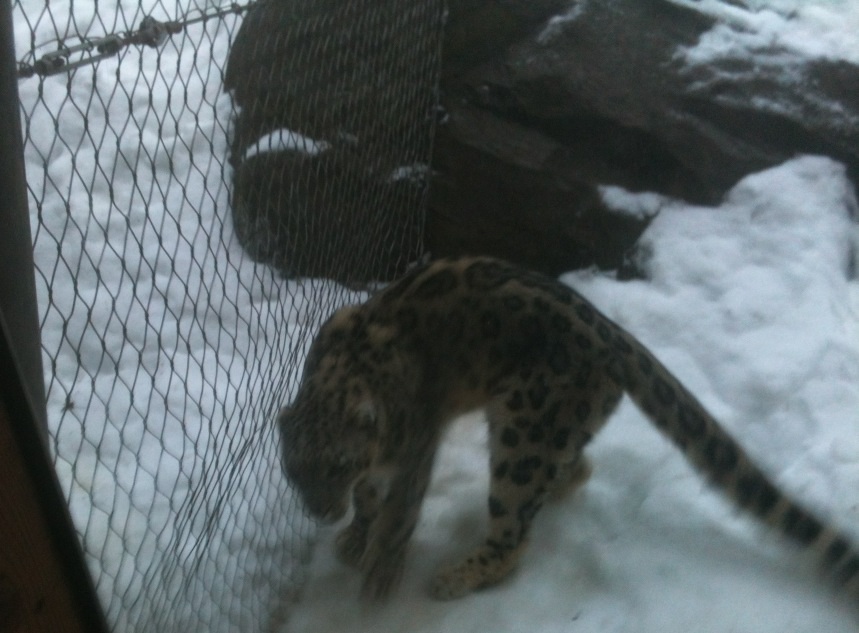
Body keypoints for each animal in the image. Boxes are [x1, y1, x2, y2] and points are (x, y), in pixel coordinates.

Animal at [277, 255, 859, 602]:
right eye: (295, 469)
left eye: (340, 463)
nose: (320, 510)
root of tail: (612, 332)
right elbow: (371, 500)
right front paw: (356, 534)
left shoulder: (417, 445)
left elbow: (399, 512)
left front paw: (379, 572)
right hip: (545, 428)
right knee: (576, 466)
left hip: (522, 432)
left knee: (512, 530)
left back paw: (454, 576)